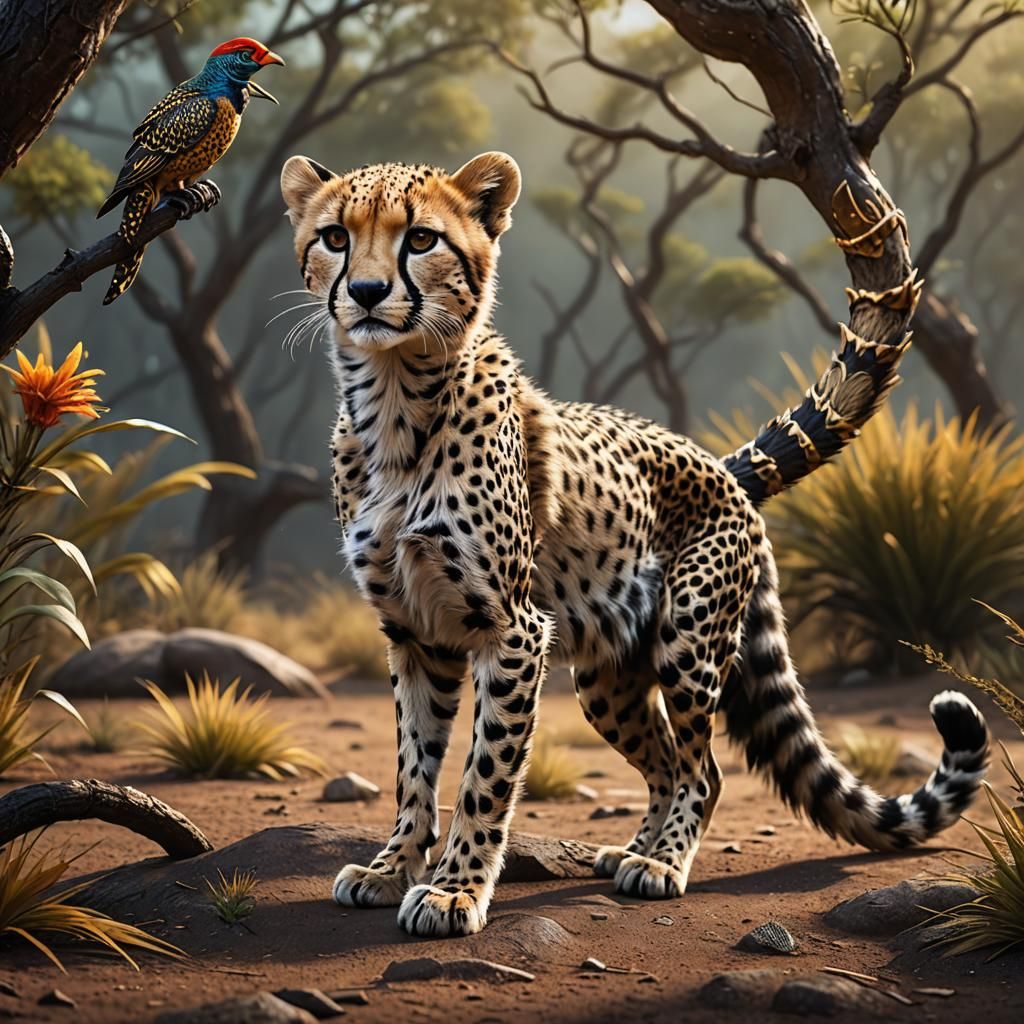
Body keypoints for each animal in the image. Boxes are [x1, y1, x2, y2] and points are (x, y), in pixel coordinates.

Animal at [279, 150, 990, 939]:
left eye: (422, 239)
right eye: (336, 237)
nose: (368, 293)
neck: (395, 397)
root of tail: (721, 463)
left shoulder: (513, 631)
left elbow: (484, 775)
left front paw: (454, 891)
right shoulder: (414, 632)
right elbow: (414, 762)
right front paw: (392, 868)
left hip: (688, 640)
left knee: (702, 770)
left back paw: (663, 864)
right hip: (609, 678)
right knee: (665, 762)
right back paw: (635, 850)